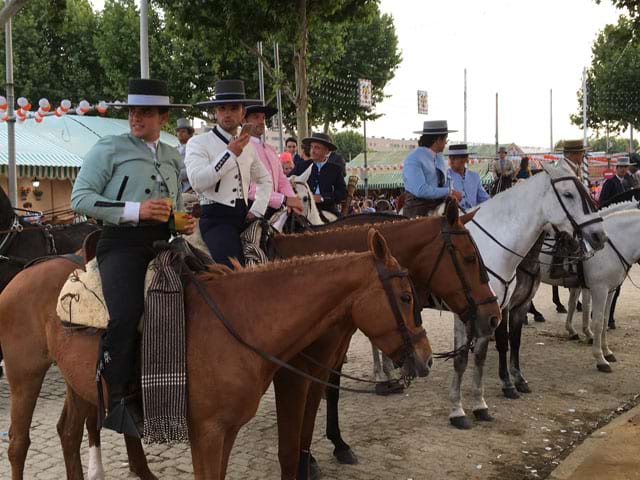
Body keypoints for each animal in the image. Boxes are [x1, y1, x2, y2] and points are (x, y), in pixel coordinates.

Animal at [2, 229, 432, 480]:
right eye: (406, 297)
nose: (426, 358)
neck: (242, 320)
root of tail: (21, 275)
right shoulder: (206, 434)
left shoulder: (226, 431)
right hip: (26, 377)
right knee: (19, 443)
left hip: (78, 383)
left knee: (69, 434)